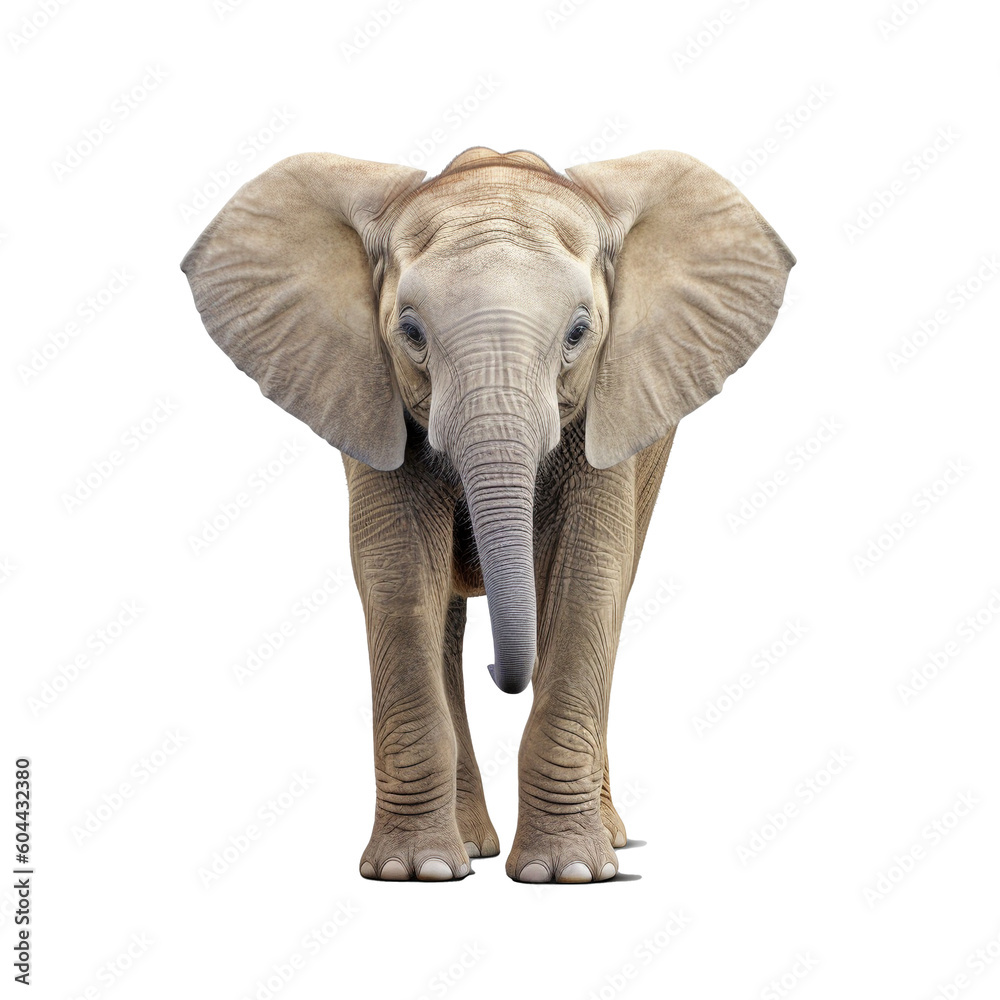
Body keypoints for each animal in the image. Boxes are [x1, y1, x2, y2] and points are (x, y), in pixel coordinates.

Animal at [181, 146, 794, 883]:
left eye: (580, 331)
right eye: (410, 331)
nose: (506, 675)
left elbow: (587, 580)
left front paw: (567, 875)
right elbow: (398, 576)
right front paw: (414, 873)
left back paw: (610, 840)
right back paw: (469, 849)